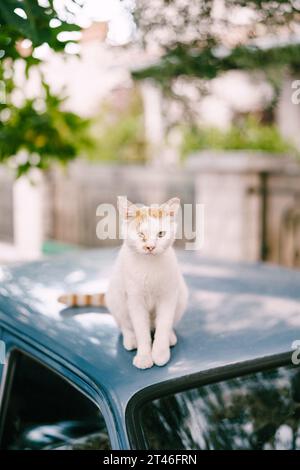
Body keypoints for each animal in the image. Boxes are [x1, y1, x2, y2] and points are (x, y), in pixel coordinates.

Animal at [58, 196, 188, 370]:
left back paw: (170, 337)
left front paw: (160, 353)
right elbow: (141, 330)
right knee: (125, 325)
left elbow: (164, 324)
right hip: (116, 298)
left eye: (161, 234)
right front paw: (144, 356)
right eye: (140, 234)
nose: (150, 247)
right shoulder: (134, 299)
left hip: (181, 295)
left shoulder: (168, 296)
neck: (149, 265)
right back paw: (131, 339)